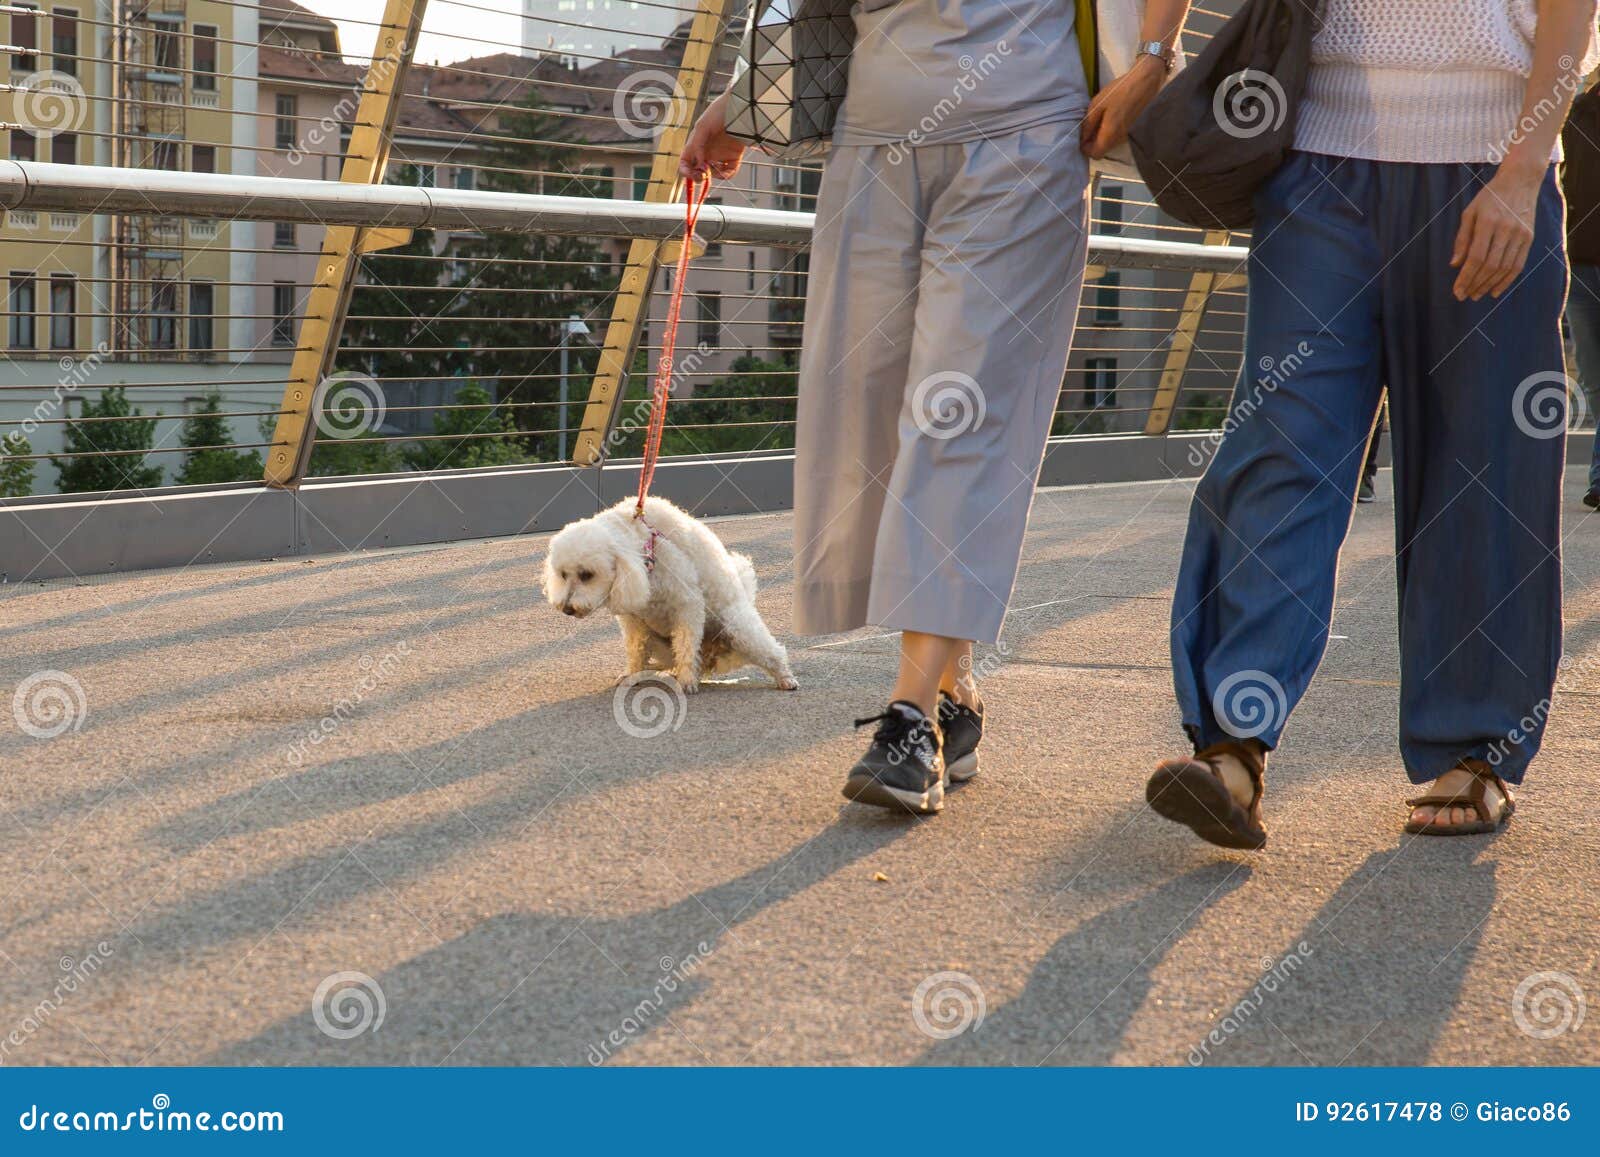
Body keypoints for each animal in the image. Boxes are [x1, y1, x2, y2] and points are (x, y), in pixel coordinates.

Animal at [544, 492, 800, 691]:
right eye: (563, 574)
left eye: (587, 574)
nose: (567, 609)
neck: (643, 548)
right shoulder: (634, 620)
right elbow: (636, 650)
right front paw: (632, 674)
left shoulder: (687, 604)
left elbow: (686, 644)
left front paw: (686, 681)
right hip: (660, 643)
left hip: (738, 628)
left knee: (771, 651)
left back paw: (785, 678)